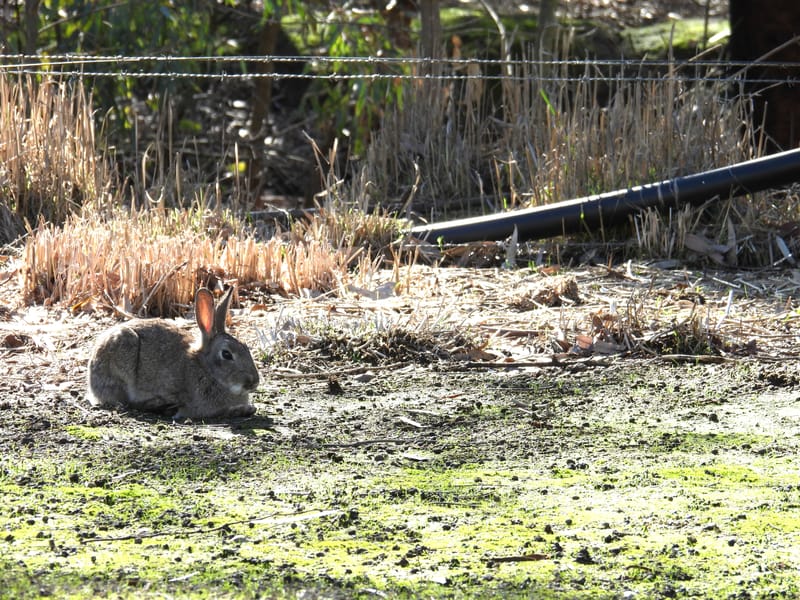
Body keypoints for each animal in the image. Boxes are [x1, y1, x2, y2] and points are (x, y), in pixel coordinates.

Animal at [87, 287, 259, 420]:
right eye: (227, 354)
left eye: (246, 347)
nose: (254, 382)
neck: (206, 369)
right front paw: (243, 409)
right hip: (123, 357)